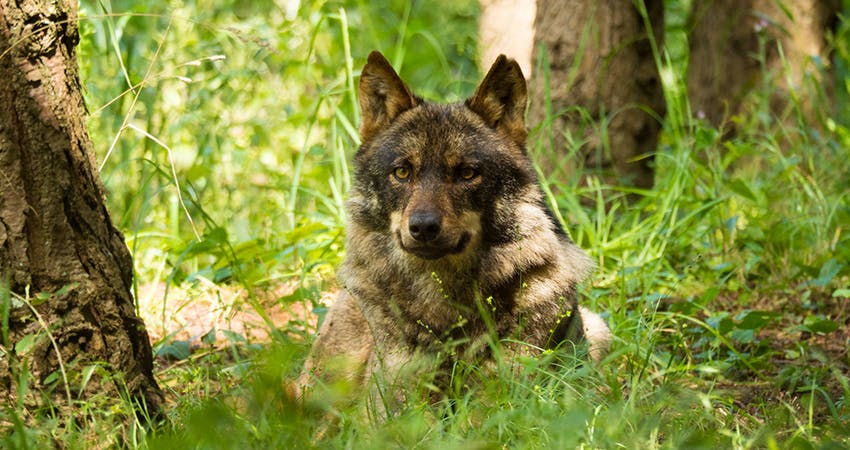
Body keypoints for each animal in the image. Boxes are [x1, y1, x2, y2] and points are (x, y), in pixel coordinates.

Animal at [299, 51, 610, 406]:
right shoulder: (393, 403)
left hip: (599, 329)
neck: (443, 303)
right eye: (402, 172)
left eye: (467, 173)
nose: (423, 227)